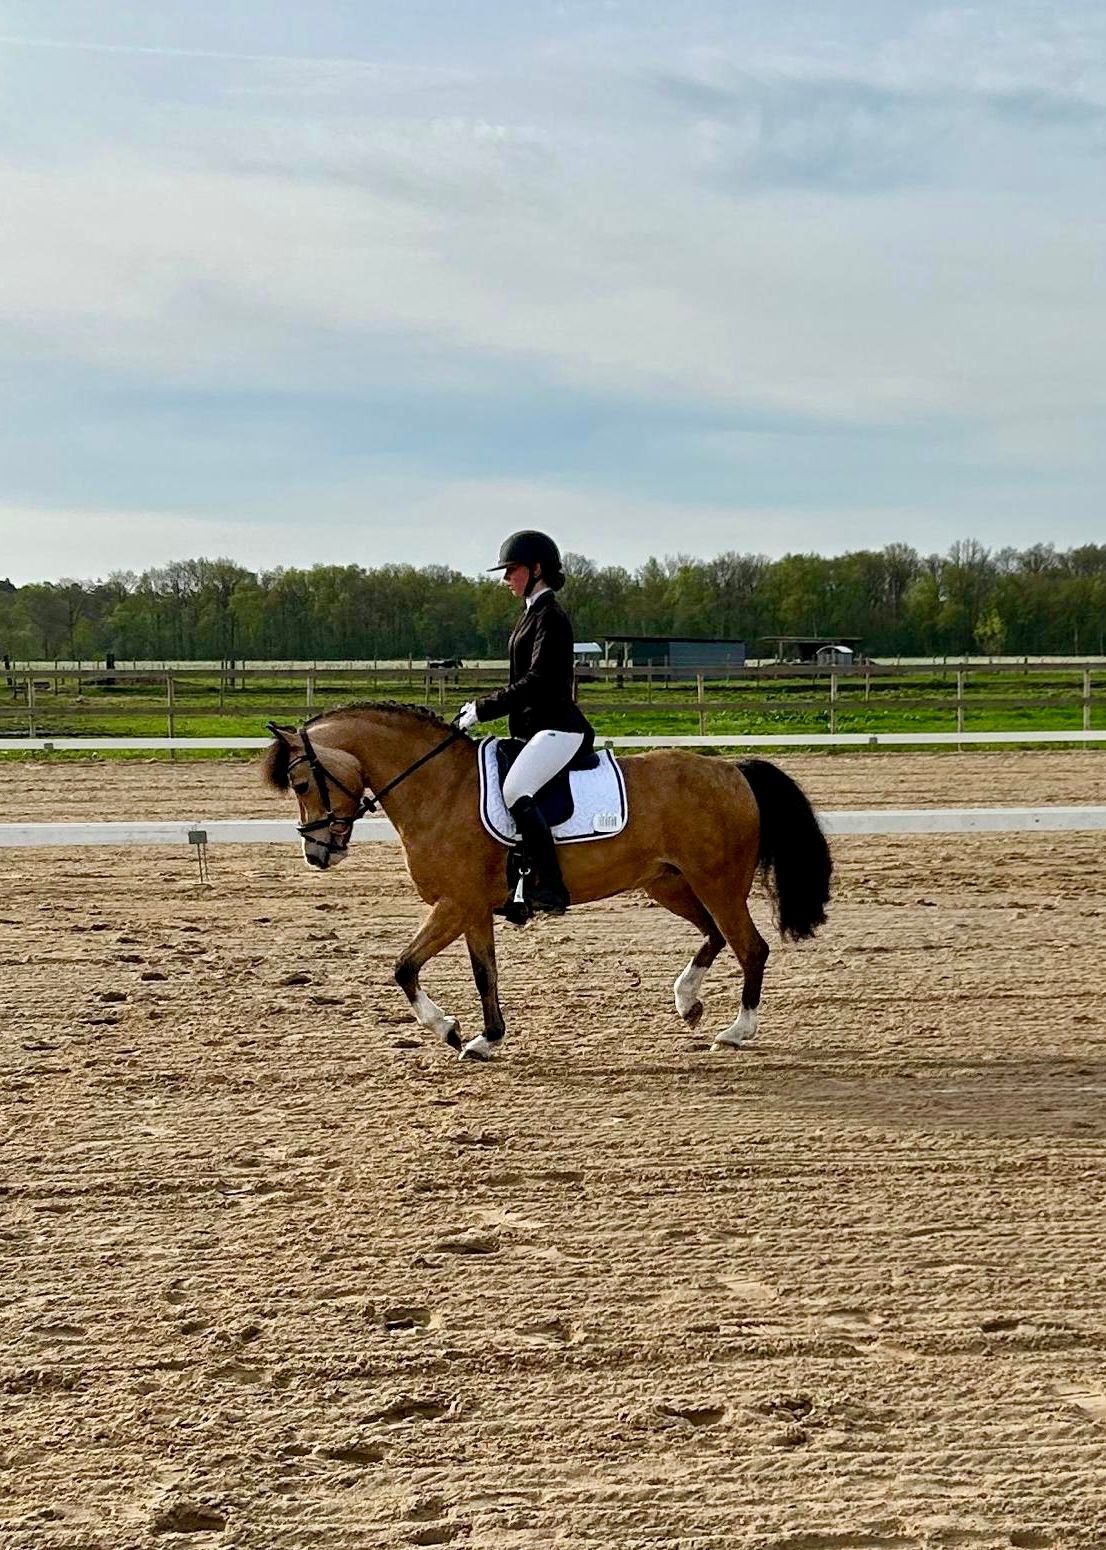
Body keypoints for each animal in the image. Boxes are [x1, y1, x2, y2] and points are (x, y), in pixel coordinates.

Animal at [262, 702, 832, 1062]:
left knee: (750, 947)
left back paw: (736, 1032)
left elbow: (422, 968)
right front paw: (474, 1036)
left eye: (301, 782)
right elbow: (462, 972)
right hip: (669, 883)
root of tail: (732, 770)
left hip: (718, 883)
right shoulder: (467, 908)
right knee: (714, 935)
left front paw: (461, 1034)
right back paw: (686, 1000)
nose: (318, 853)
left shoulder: (457, 903)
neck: (438, 788)